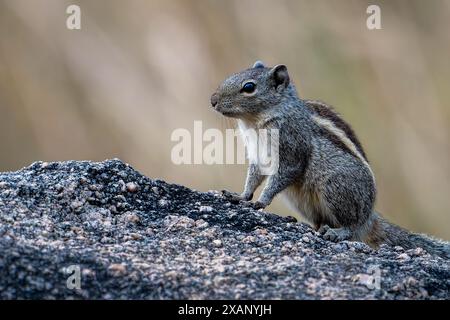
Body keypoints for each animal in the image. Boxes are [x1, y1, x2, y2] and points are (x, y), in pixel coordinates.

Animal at [212, 60, 450, 260]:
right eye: (234, 74)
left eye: (249, 87)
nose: (212, 100)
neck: (256, 120)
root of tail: (370, 217)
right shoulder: (258, 155)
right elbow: (253, 178)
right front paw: (241, 196)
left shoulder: (291, 150)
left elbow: (283, 174)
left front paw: (260, 201)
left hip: (334, 187)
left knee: (352, 227)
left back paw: (337, 232)